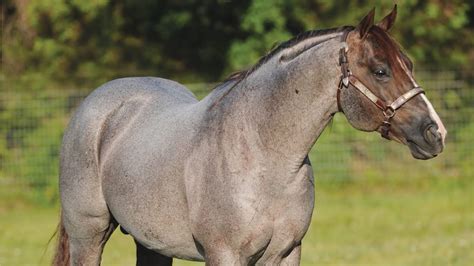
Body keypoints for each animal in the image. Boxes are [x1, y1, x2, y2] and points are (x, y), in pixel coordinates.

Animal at [51, 6, 444, 266]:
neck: (263, 158)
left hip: (151, 243)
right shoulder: (225, 255)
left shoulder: (286, 252)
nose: (434, 133)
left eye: (408, 64)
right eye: (380, 70)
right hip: (89, 234)